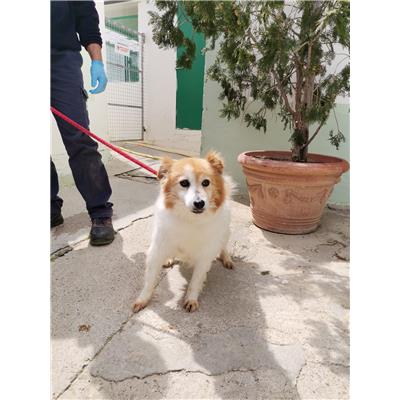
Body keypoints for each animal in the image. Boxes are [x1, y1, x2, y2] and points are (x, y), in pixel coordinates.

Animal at [132, 151, 234, 313]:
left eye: (206, 182)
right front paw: (143, 299)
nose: (199, 203)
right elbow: (150, 279)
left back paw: (227, 259)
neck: (190, 219)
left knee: (223, 247)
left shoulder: (204, 256)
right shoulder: (157, 249)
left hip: (225, 233)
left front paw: (191, 299)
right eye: (184, 183)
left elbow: (196, 281)